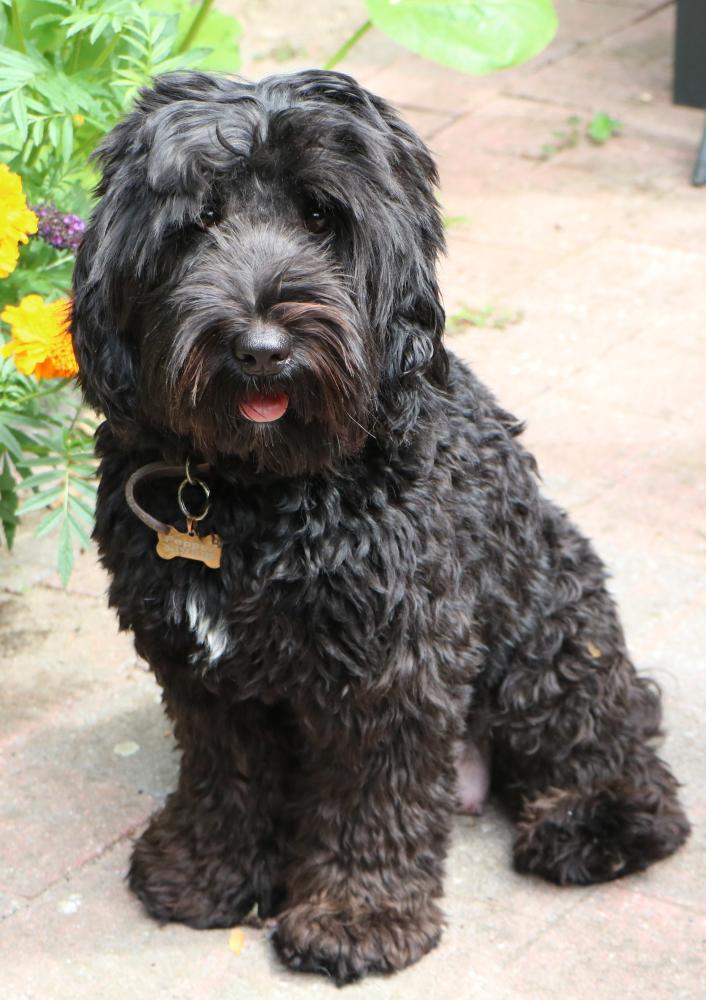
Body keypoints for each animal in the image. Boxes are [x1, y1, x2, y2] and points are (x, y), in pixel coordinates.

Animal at [71, 70, 688, 984]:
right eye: (200, 221)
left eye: (322, 217)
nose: (261, 347)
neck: (260, 489)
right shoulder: (199, 668)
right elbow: (227, 772)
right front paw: (211, 873)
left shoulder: (396, 662)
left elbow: (374, 794)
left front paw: (355, 917)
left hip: (548, 632)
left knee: (619, 748)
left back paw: (592, 824)